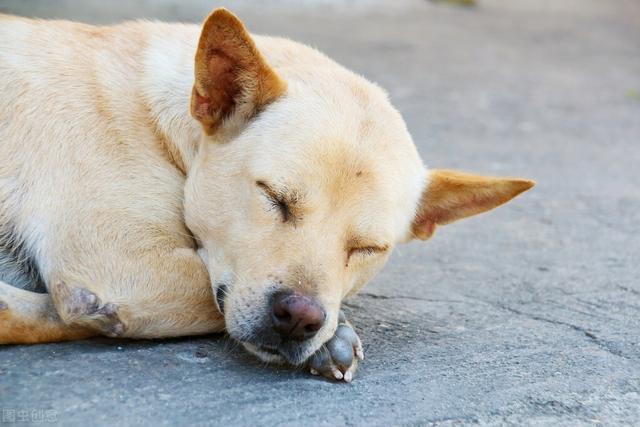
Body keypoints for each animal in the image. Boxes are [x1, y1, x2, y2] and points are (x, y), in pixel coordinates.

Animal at [0, 7, 532, 382]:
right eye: (274, 197)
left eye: (368, 248)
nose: (300, 319)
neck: (159, 119)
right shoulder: (121, 268)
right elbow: (209, 299)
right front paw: (334, 334)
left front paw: (330, 334)